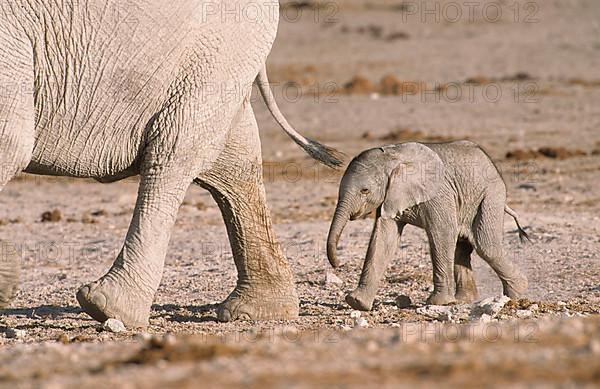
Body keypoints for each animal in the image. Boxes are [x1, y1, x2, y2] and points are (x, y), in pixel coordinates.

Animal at [0, 1, 340, 326]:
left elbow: (12, 144)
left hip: (211, 57)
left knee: (175, 151)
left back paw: (107, 307)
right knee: (232, 160)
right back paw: (259, 311)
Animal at [328, 140, 528, 310]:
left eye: (365, 191)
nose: (339, 263)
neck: (392, 159)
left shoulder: (439, 193)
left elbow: (442, 232)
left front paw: (438, 302)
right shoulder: (390, 196)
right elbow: (384, 238)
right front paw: (356, 302)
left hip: (490, 196)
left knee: (486, 247)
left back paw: (516, 295)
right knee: (462, 248)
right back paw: (464, 300)